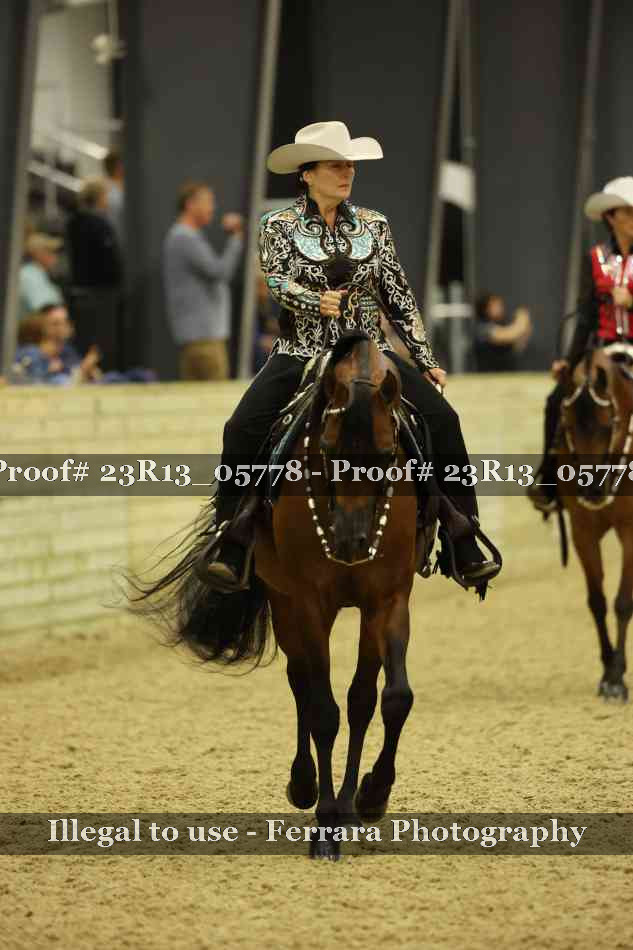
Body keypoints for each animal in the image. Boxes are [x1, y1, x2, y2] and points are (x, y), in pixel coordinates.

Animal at [127, 329, 435, 860]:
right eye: (327, 449)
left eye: (385, 455)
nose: (352, 542)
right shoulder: (307, 601)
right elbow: (322, 710)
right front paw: (325, 824)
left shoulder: (389, 598)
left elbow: (393, 698)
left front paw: (371, 796)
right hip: (286, 601)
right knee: (302, 685)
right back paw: (305, 785)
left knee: (360, 697)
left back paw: (350, 802)